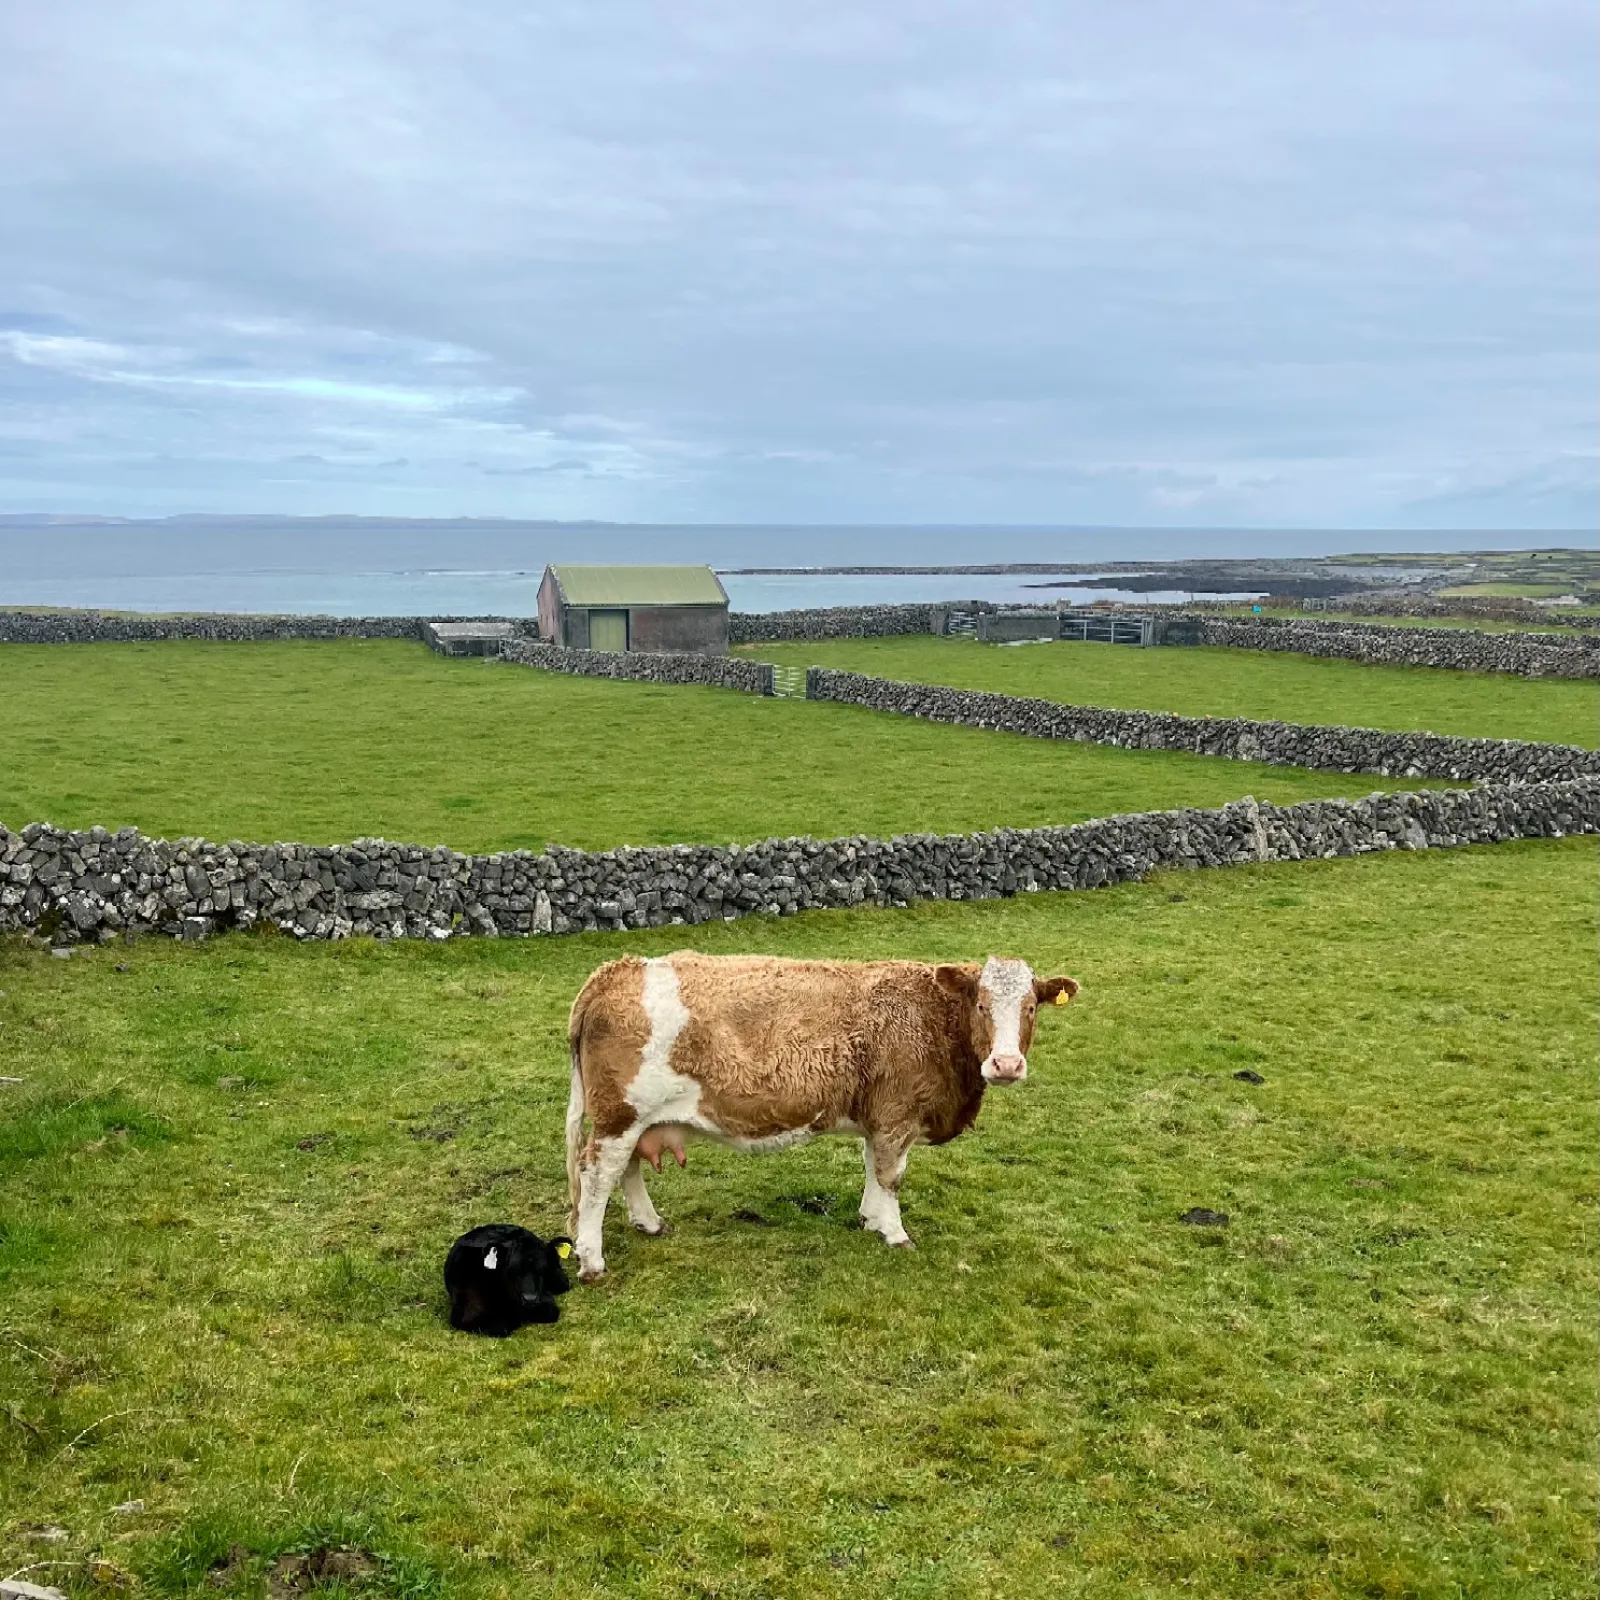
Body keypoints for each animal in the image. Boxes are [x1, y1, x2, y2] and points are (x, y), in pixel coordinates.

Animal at [560, 953, 1075, 1280]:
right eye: (982, 1005)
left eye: (1031, 1007)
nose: (1006, 1064)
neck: (930, 1019)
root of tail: (615, 971)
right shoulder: (897, 1115)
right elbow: (891, 1175)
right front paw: (895, 1233)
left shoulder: (877, 1117)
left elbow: (871, 1167)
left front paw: (870, 1218)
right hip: (620, 1116)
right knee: (597, 1176)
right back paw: (592, 1261)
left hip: (630, 1120)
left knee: (624, 1170)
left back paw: (648, 1222)